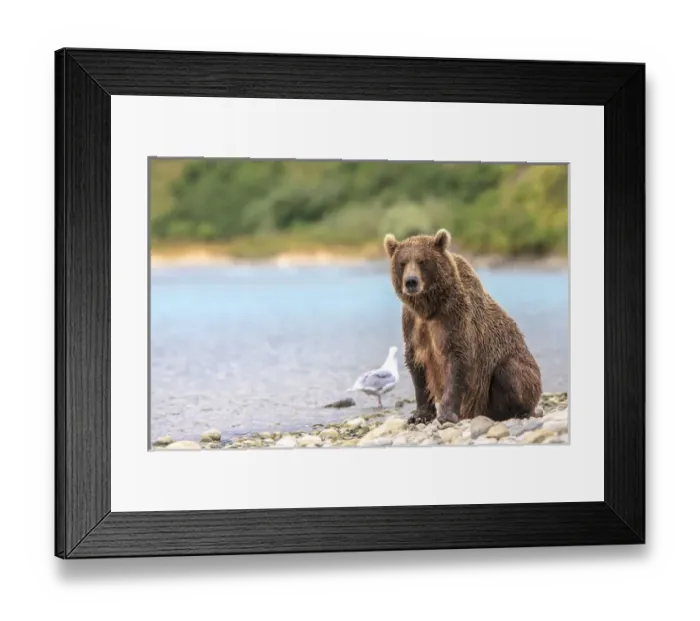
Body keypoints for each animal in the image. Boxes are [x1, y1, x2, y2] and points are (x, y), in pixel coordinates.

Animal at [383, 228, 542, 424]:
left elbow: (458, 361)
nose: (411, 281)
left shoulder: (455, 319)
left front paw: (446, 414)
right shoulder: (412, 324)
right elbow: (417, 366)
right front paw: (419, 415)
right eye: (402, 263)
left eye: (422, 261)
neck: (429, 308)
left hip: (518, 374)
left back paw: (521, 412)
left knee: (509, 372)